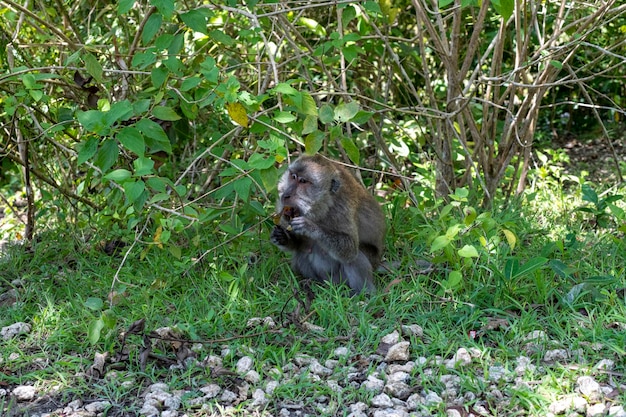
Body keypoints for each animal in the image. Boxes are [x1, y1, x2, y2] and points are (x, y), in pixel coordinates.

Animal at [270, 153, 386, 292]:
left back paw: (363, 293)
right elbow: (299, 244)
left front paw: (310, 227)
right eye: (293, 177)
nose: (286, 195)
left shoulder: (342, 209)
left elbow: (350, 249)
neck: (324, 205)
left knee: (356, 257)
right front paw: (282, 237)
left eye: (303, 181)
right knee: (304, 250)